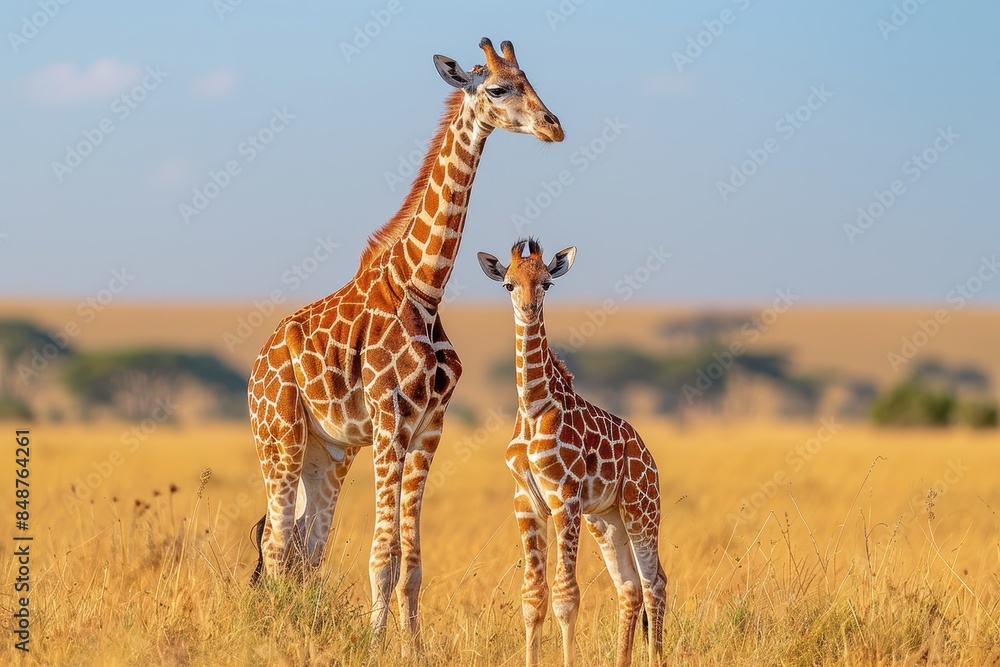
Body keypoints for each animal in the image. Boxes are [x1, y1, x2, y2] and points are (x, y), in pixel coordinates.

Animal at [247, 39, 563, 651]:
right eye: (498, 88)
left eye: (531, 81)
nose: (553, 127)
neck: (425, 285)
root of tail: (255, 370)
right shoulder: (389, 421)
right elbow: (382, 553)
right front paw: (375, 646)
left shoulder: (428, 429)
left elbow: (411, 559)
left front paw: (411, 645)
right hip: (280, 439)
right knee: (275, 542)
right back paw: (276, 632)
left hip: (329, 452)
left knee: (306, 546)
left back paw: (300, 624)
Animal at [478, 238, 667, 667]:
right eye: (509, 284)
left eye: (547, 283)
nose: (529, 309)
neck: (533, 407)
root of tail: (648, 457)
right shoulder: (526, 501)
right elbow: (533, 597)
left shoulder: (565, 498)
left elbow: (566, 596)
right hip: (606, 518)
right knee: (630, 587)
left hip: (641, 511)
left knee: (655, 583)